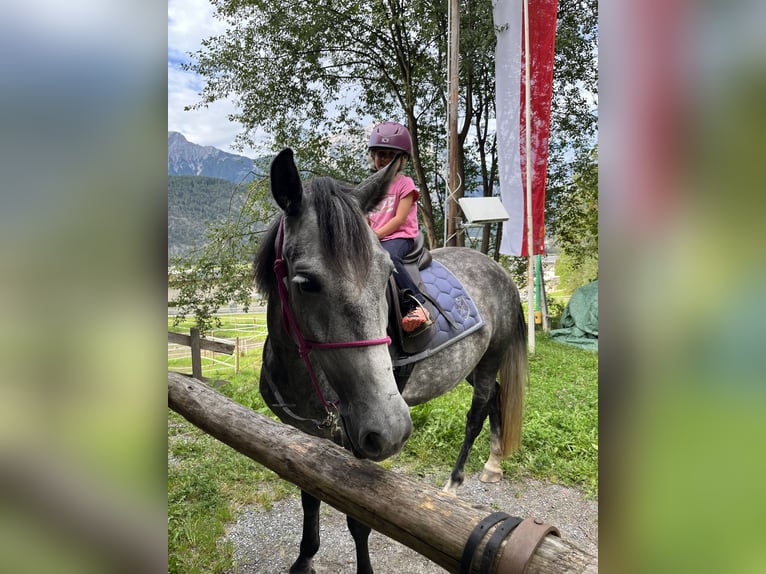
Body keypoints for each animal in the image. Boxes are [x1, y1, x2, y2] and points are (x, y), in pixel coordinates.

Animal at [253, 148, 528, 574]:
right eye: (305, 283)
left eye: (385, 274)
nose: (391, 428)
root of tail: (499, 270)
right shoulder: (305, 435)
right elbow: (309, 495)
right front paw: (304, 559)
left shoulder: (354, 445)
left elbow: (358, 518)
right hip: (471, 364)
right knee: (497, 398)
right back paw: (493, 465)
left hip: (488, 362)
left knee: (478, 411)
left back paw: (454, 483)